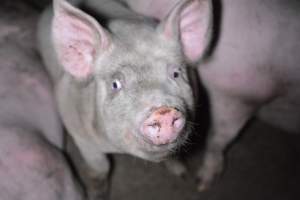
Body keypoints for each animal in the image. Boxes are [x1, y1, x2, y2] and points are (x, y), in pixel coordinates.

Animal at [37, 0, 211, 198]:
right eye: (115, 84)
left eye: (176, 73)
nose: (163, 111)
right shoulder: (76, 128)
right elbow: (101, 168)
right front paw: (97, 194)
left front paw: (183, 174)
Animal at [95, 0, 300, 191]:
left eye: (176, 73)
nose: (163, 112)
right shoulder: (234, 96)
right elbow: (218, 137)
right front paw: (198, 182)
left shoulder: (238, 93)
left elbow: (218, 137)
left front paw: (200, 184)